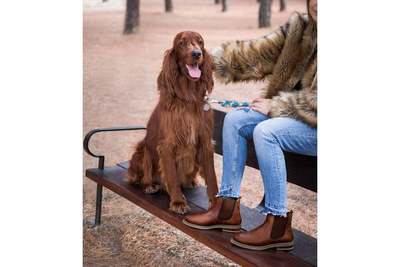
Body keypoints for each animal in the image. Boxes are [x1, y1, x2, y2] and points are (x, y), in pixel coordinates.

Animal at [127, 31, 217, 216]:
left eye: (200, 42)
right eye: (181, 43)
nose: (197, 54)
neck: (189, 99)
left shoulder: (205, 141)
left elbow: (212, 177)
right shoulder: (167, 145)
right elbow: (172, 177)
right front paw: (177, 202)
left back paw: (190, 181)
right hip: (143, 150)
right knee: (139, 176)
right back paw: (150, 185)